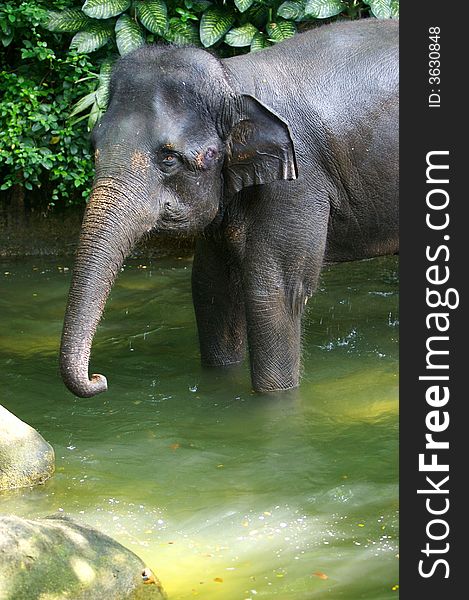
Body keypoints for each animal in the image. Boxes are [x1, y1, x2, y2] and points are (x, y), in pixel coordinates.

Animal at [59, 17, 398, 398]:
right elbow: (211, 283)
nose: (99, 379)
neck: (233, 81)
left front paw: (274, 399)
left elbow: (276, 290)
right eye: (94, 145)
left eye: (168, 158)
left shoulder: (299, 182)